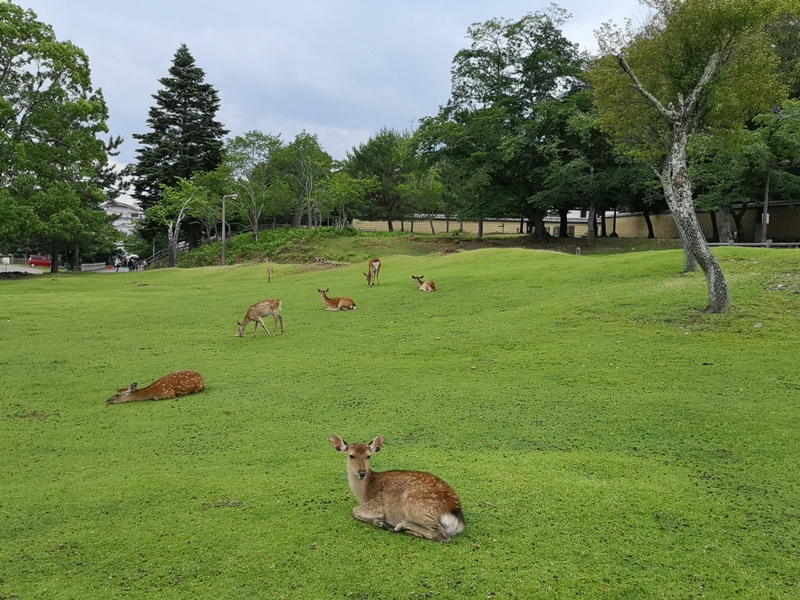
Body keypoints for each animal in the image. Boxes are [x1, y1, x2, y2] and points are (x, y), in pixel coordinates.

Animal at [330, 435, 465, 543]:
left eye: (368, 456)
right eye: (351, 456)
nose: (362, 473)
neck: (364, 493)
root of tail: (457, 516)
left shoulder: (377, 504)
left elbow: (355, 510)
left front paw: (381, 522)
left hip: (414, 504)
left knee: (442, 535)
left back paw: (400, 526)